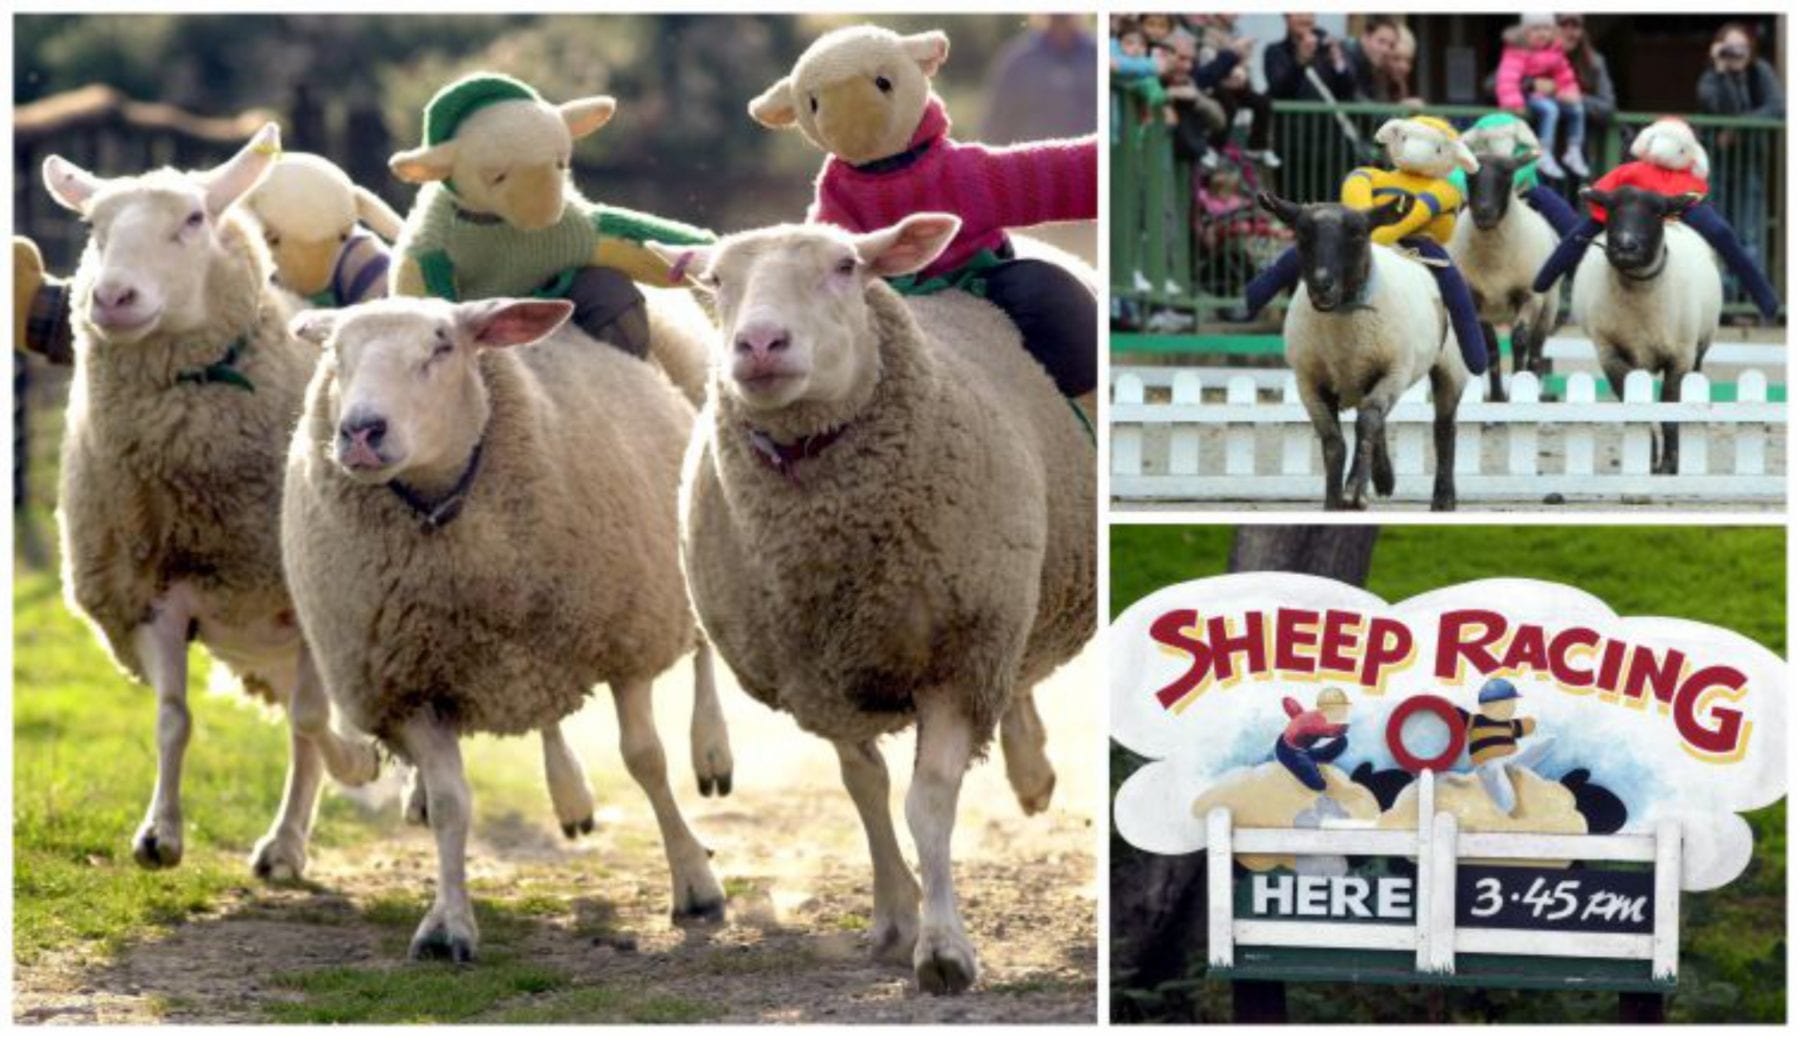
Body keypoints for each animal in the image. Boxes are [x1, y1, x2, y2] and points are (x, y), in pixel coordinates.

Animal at [42, 125, 381, 877]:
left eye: (194, 220)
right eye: (93, 228)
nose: (112, 298)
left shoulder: (308, 597)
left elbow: (313, 721)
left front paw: (360, 765)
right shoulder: (154, 591)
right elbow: (175, 719)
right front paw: (159, 835)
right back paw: (286, 842)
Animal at [648, 212, 1094, 993]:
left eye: (845, 266)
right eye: (717, 279)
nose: (759, 345)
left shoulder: (958, 655)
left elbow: (927, 801)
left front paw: (944, 949)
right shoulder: (817, 675)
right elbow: (865, 789)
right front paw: (894, 919)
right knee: (1018, 681)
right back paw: (1032, 772)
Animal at [1260, 193, 1468, 510]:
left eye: (1357, 233)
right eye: (1301, 233)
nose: (1321, 285)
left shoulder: (1394, 371)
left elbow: (1368, 420)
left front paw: (1355, 490)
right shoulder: (1309, 382)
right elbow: (1334, 442)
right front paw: (1335, 501)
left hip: (1450, 364)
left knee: (1444, 427)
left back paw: (1443, 498)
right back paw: (1383, 478)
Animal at [1569, 187, 1720, 474]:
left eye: (1658, 212)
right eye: (1610, 209)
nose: (1626, 246)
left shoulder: (1680, 357)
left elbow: (1670, 409)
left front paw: (1670, 464)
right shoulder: (1610, 354)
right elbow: (1635, 405)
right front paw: (1648, 460)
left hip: (1699, 347)